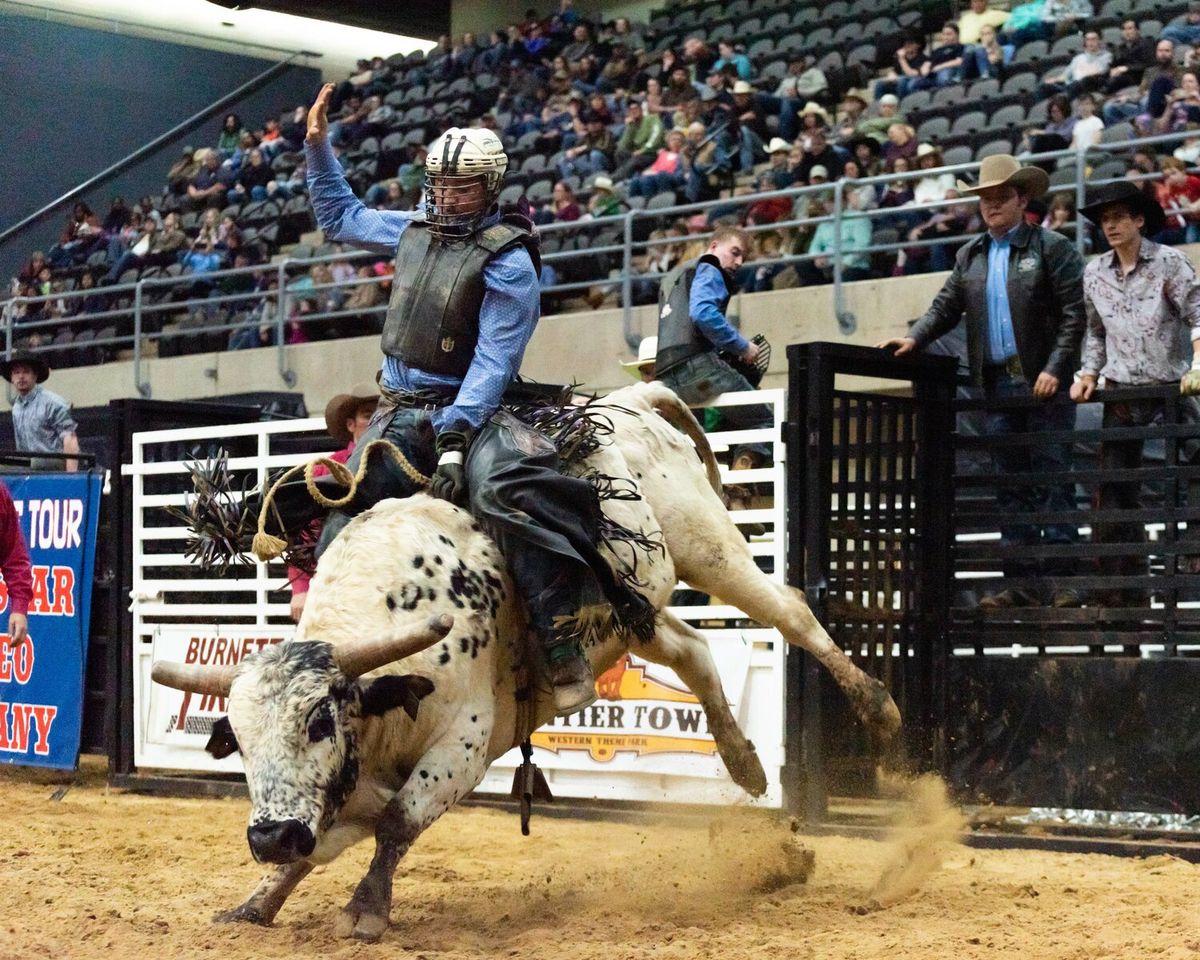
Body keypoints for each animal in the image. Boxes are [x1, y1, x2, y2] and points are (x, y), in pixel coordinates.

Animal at [152, 379, 902, 940]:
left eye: (318, 722)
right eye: (238, 739)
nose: (271, 836)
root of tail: (630, 397)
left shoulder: (465, 741)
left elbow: (400, 822)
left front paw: (365, 910)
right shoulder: (345, 788)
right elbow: (329, 840)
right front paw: (257, 900)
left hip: (708, 546)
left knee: (789, 610)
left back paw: (877, 707)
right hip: (628, 614)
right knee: (691, 650)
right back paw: (745, 763)